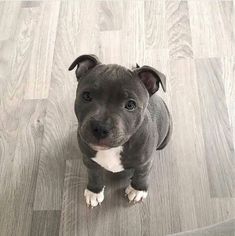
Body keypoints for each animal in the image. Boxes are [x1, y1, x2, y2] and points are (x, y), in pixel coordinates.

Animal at [68, 54, 173, 207]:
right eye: (86, 96)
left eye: (130, 105)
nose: (100, 128)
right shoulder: (89, 159)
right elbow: (94, 174)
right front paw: (94, 191)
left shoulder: (145, 162)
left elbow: (142, 174)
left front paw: (138, 189)